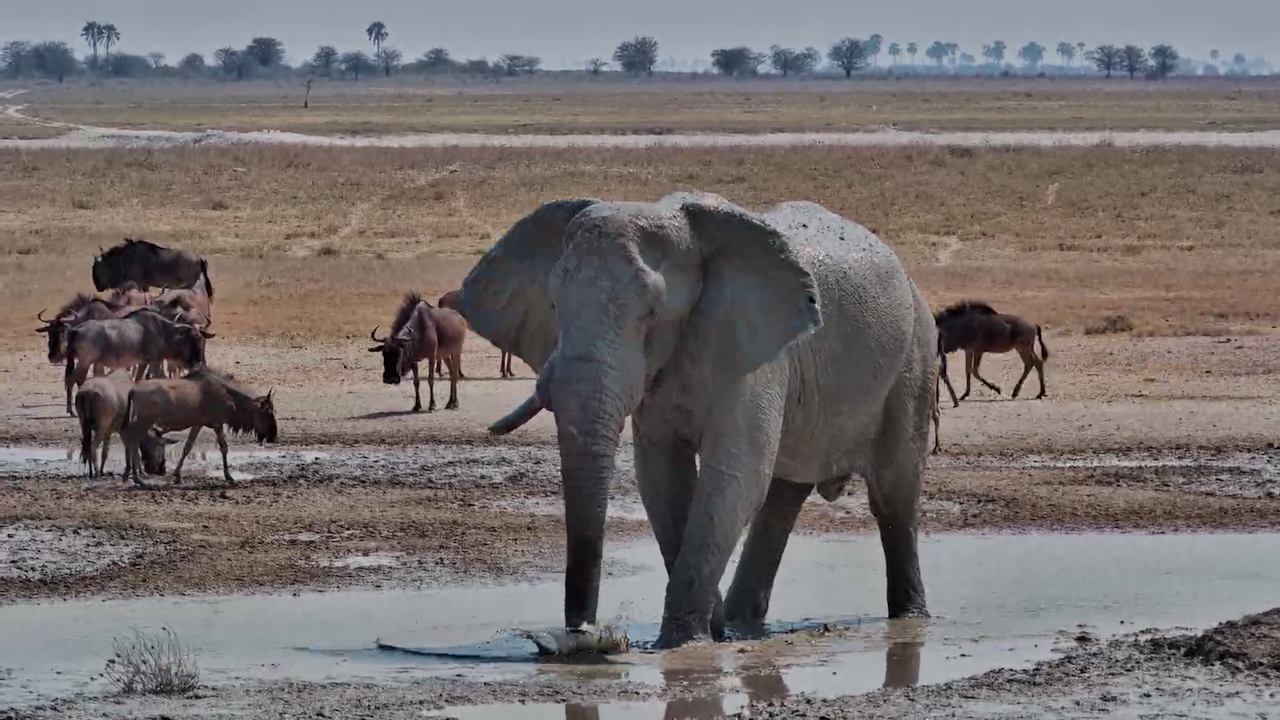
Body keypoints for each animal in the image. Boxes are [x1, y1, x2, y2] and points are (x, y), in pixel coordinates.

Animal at [459, 191, 938, 650]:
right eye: (555, 305)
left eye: (653, 313)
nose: (582, 634)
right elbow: (663, 480)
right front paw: (712, 629)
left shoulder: (751, 346)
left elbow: (734, 476)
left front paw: (684, 642)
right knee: (783, 497)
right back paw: (744, 625)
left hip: (915, 359)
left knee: (893, 493)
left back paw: (911, 621)